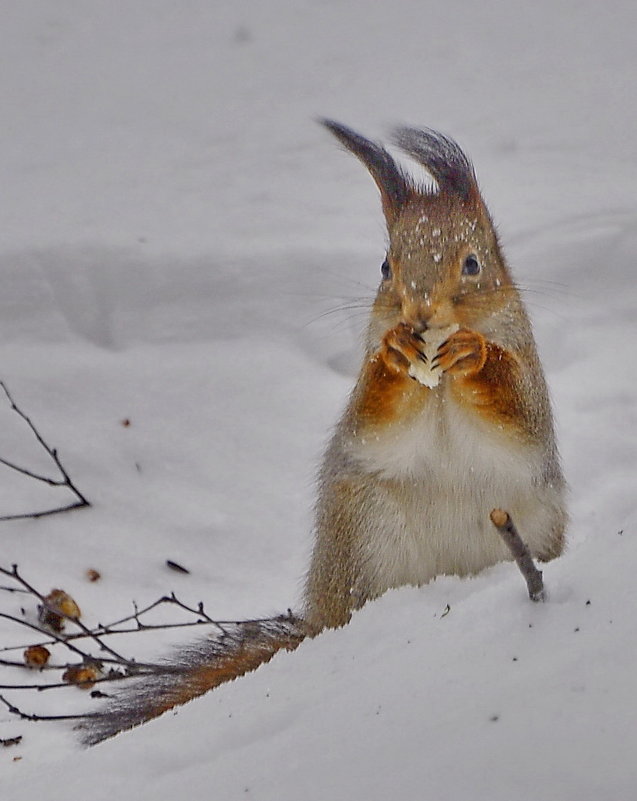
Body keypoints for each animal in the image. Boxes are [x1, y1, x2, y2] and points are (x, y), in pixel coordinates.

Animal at [80, 120, 568, 744]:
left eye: (474, 264)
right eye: (385, 267)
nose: (420, 313)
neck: (438, 386)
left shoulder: (529, 383)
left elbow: (516, 411)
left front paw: (474, 353)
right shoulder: (367, 416)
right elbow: (372, 418)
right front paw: (394, 354)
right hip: (363, 534)